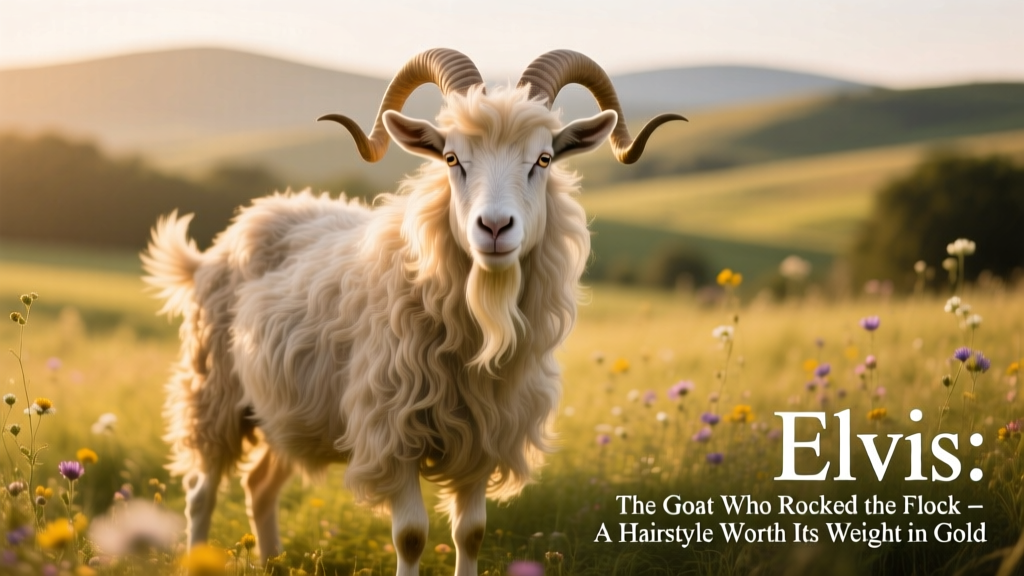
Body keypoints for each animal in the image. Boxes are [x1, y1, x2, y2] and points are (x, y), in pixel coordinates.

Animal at [142, 48, 684, 576]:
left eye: (544, 158)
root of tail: (222, 242)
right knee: (200, 493)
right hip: (213, 392)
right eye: (451, 158)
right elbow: (411, 536)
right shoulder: (392, 431)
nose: (494, 227)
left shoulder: (485, 434)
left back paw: (272, 562)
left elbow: (471, 533)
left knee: (259, 486)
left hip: (285, 411)